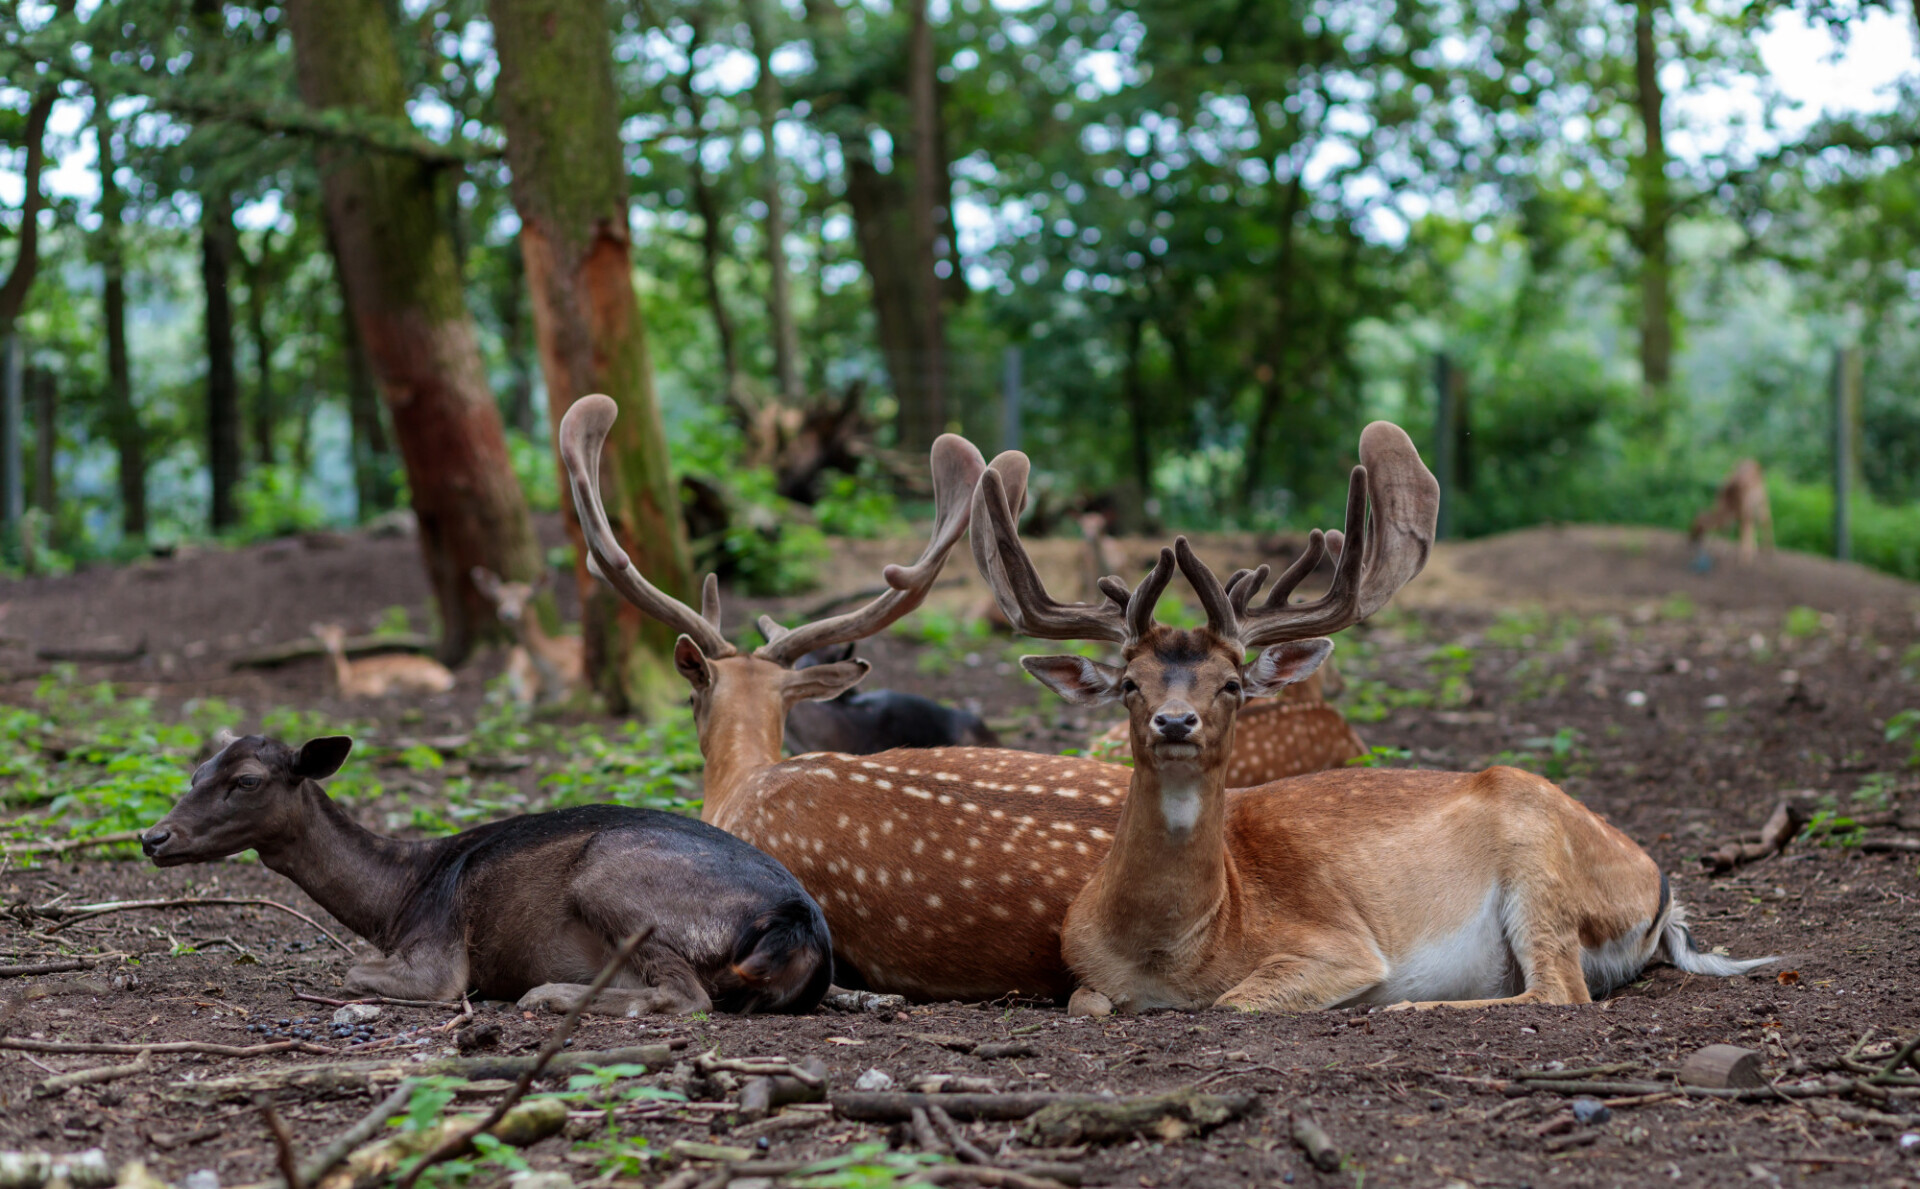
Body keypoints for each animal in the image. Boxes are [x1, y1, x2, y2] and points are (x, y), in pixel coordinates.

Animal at [142, 733, 833, 1014]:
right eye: (196, 772)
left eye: (246, 781)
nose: (152, 837)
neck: (396, 900)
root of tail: (800, 929)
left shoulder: (438, 955)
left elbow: (354, 970)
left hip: (613, 878)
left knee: (688, 997)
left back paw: (547, 995)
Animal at [312, 622, 455, 699]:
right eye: (321, 637)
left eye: (338, 637)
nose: (330, 647)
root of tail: (447, 674)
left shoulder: (370, 684)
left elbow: (348, 694)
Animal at [975, 418, 1766, 1014]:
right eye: (1130, 684)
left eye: (1230, 684)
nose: (1175, 723)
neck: (1173, 950)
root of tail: (1661, 891)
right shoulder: (1079, 967)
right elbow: (1086, 1002)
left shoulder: (1338, 945)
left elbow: (1235, 1000)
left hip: (1538, 856)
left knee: (1558, 990)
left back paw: (1413, 1003)